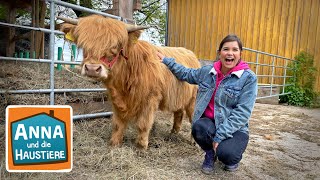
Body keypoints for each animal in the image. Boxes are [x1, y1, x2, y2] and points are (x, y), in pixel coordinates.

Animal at [59, 14, 200, 149]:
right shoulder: (116, 99)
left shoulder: (150, 99)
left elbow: (143, 124)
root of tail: (190, 53)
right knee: (179, 113)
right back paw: (173, 134)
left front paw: (141, 147)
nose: (92, 69)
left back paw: (194, 142)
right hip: (180, 97)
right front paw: (114, 143)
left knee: (193, 117)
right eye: (84, 45)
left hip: (194, 100)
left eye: (115, 46)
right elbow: (118, 123)